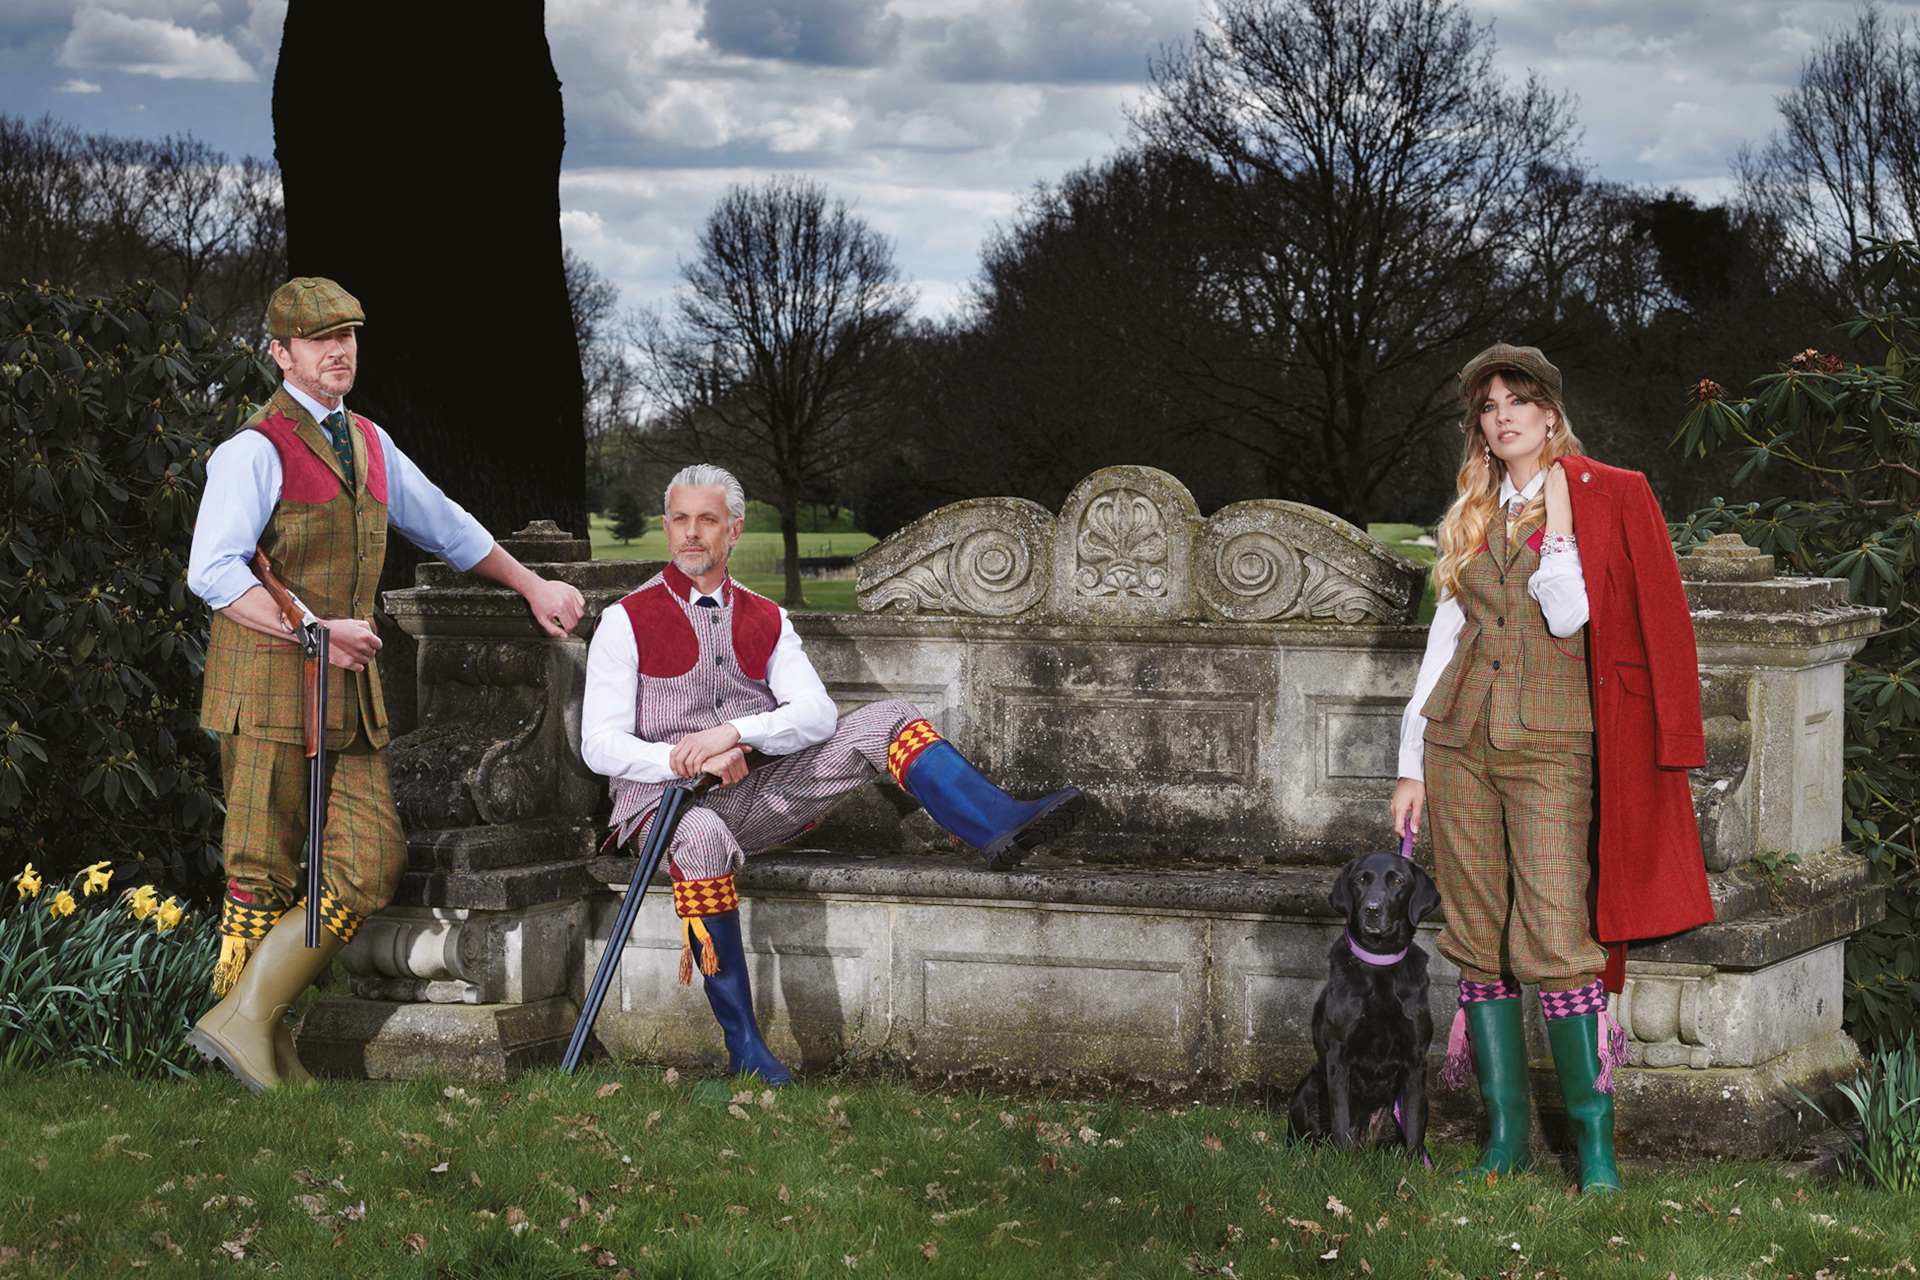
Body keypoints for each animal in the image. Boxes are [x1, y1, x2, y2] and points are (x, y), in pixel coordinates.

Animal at [1290, 852, 1443, 1159]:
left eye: (1397, 881)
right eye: (1360, 879)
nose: (1372, 910)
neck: (1379, 961)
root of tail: (1366, 1145)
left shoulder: (1416, 1060)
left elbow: (1414, 1125)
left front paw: (1414, 1164)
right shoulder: (1338, 1056)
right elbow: (1340, 1117)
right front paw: (1341, 1162)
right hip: (1308, 1087)